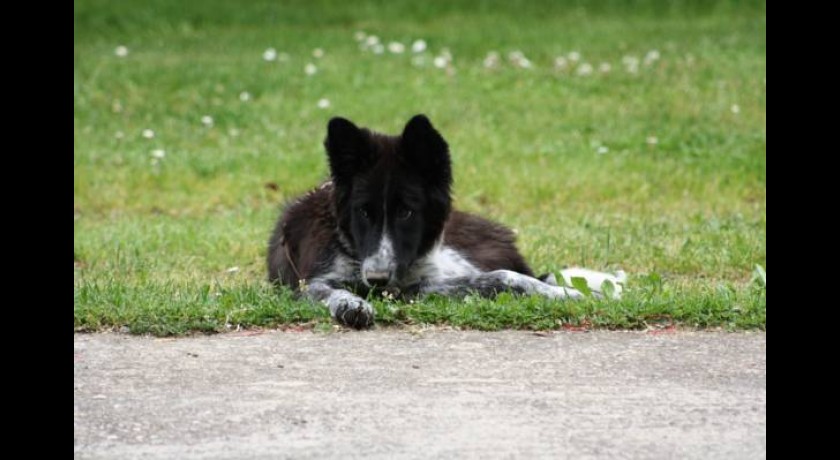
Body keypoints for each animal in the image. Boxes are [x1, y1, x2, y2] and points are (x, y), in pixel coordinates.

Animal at [270, 117, 624, 328]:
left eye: (406, 212)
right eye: (364, 212)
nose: (377, 279)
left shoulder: (421, 285)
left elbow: (503, 279)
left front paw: (572, 295)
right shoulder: (309, 283)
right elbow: (329, 292)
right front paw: (350, 305)